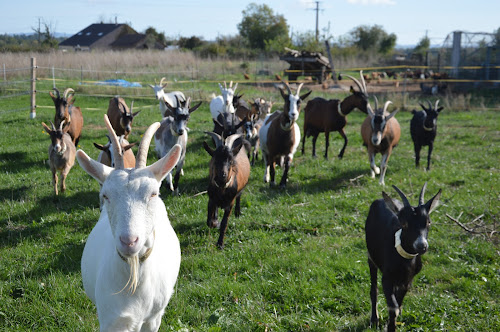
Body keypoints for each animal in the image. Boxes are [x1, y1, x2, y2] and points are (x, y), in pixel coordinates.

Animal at [364, 183, 442, 330]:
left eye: (428, 222)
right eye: (404, 223)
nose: (421, 245)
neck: (405, 261)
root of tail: (380, 200)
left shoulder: (408, 280)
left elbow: (398, 303)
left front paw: (394, 321)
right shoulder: (387, 278)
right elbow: (393, 307)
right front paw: (390, 327)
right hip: (371, 257)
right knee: (373, 288)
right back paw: (374, 319)